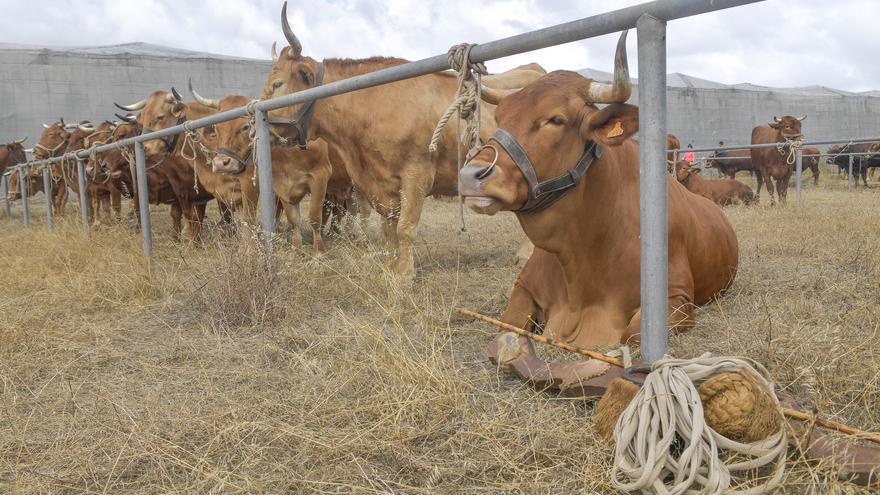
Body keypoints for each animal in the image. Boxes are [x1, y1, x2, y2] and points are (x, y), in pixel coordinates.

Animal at [260, 2, 544, 282]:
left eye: (277, 83)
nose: (256, 120)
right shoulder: (379, 184)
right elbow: (389, 227)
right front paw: (390, 266)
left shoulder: (417, 174)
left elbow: (405, 227)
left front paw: (405, 274)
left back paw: (526, 256)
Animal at [458, 31, 740, 390]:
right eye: (501, 117)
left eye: (556, 119)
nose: (470, 175)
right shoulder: (524, 287)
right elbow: (506, 335)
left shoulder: (676, 300)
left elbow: (630, 337)